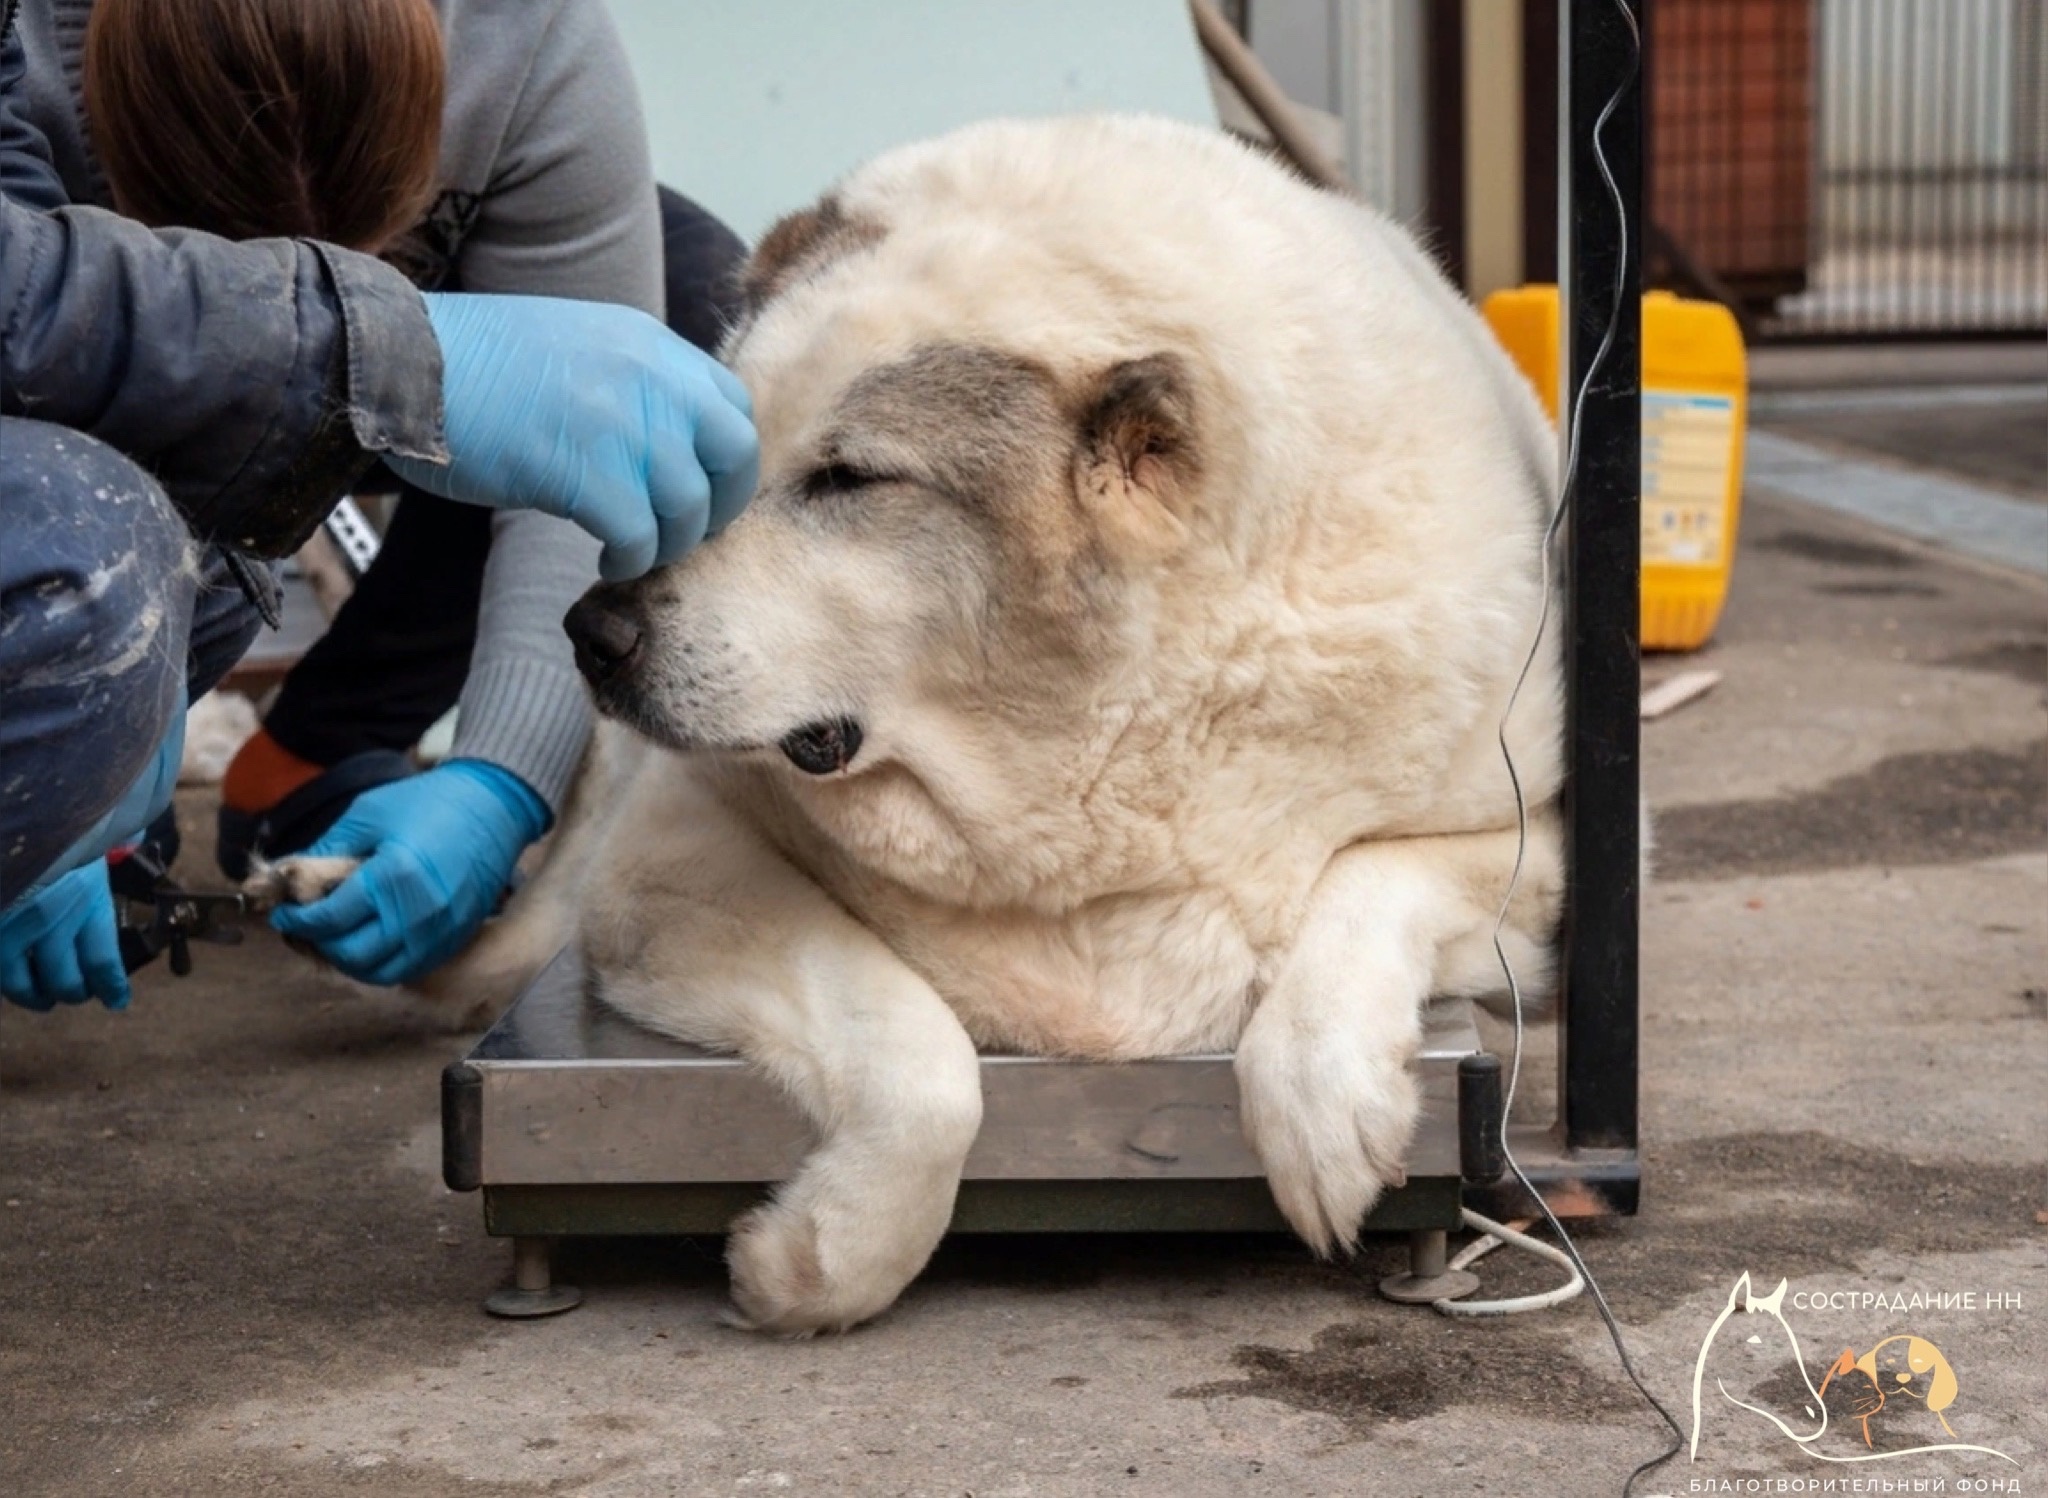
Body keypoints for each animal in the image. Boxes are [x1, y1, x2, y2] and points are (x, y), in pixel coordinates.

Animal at [272, 114, 1556, 1336]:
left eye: (846, 480)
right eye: (714, 459)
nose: (593, 630)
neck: (1083, 750)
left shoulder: (1527, 840)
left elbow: (1368, 882)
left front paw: (1323, 1112)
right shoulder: (669, 869)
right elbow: (921, 1063)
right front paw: (818, 1259)